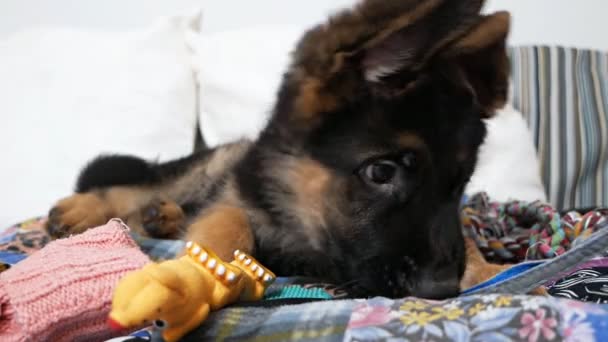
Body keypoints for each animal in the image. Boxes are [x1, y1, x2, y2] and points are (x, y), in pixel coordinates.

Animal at [45, 0, 512, 300]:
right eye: (381, 172)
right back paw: (86, 209)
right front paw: (199, 270)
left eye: (460, 182)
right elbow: (229, 221)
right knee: (146, 185)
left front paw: (491, 269)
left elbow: (468, 239)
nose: (441, 291)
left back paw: (162, 217)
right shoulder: (237, 197)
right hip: (209, 168)